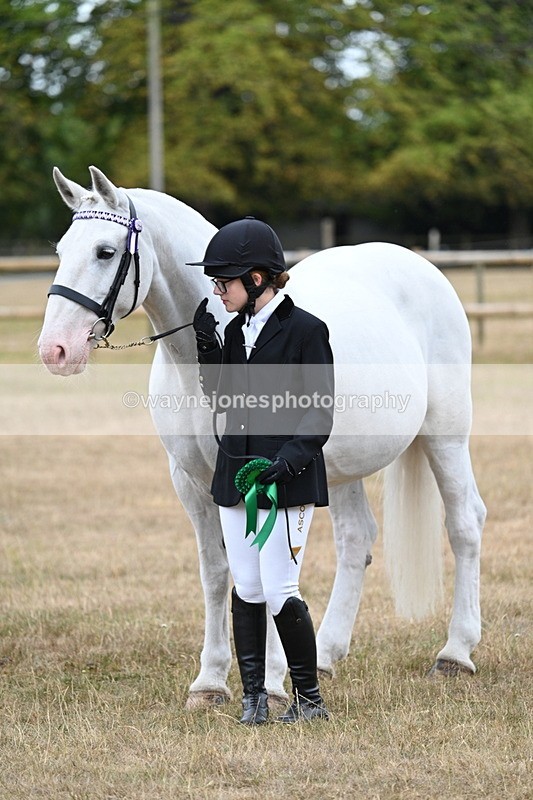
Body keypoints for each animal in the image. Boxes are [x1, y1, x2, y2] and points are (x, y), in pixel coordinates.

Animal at [38, 166, 486, 706]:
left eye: (105, 252)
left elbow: (270, 564)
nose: (55, 350)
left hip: (445, 436)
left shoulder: (268, 476)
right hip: (338, 469)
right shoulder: (193, 482)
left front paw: (271, 684)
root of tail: (420, 266)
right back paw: (325, 656)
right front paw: (210, 681)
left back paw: (455, 654)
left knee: (465, 524)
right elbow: (217, 572)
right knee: (356, 539)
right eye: (62, 249)